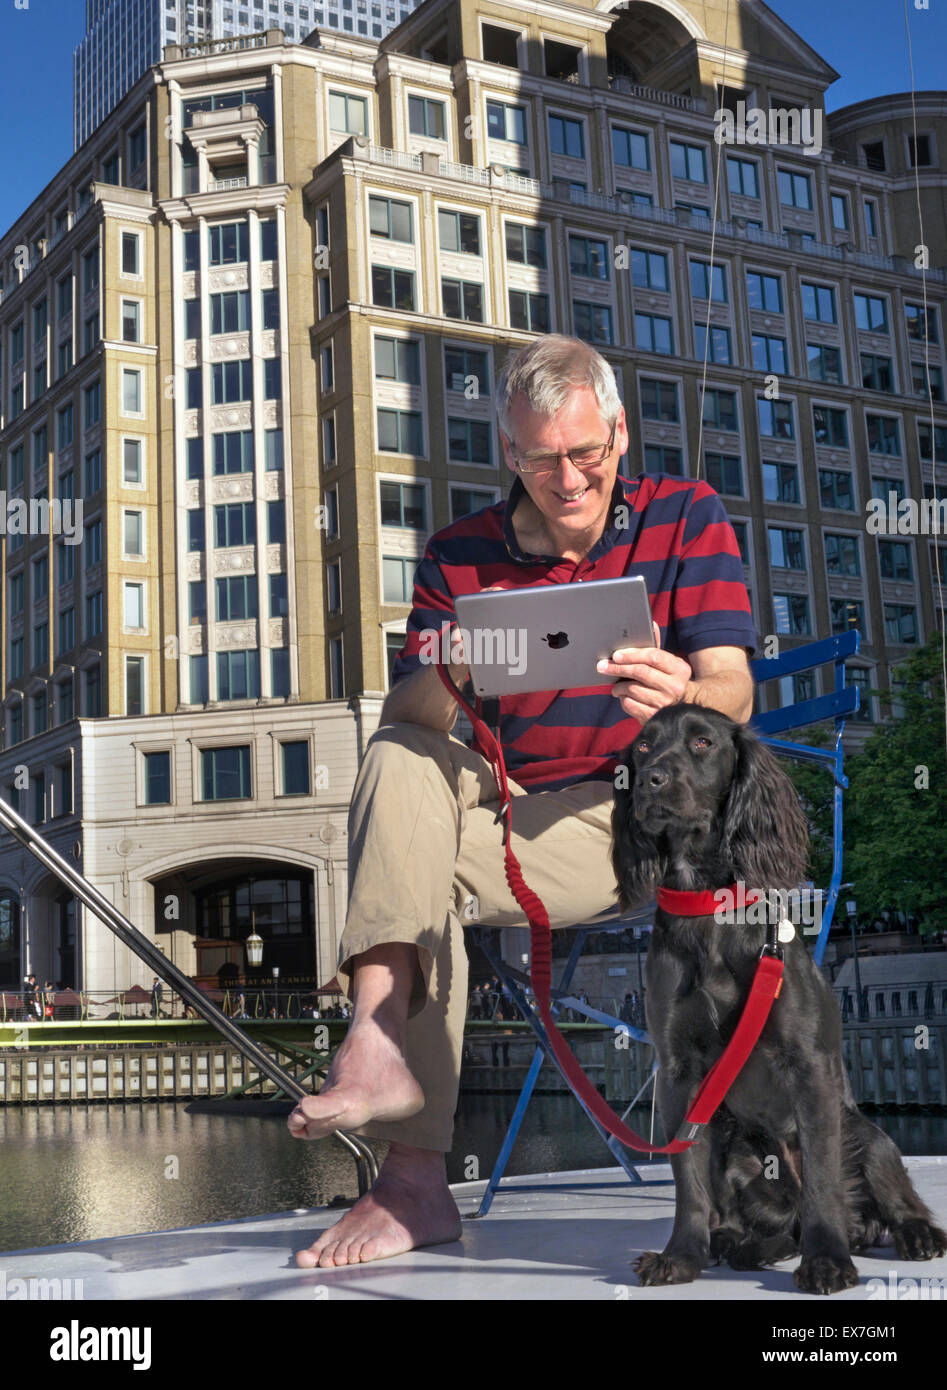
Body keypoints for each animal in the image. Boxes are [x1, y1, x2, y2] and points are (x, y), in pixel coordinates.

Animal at [609, 700, 940, 1295]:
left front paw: (826, 1261)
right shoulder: (678, 1072)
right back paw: (742, 1244)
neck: (709, 908)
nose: (649, 781)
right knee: (770, 1224)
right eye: (643, 746)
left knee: (882, 1196)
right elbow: (688, 1180)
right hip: (740, 1150)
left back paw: (913, 1234)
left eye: (702, 742)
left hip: (866, 1133)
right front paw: (682, 1255)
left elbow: (822, 1180)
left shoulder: (807, 1063)